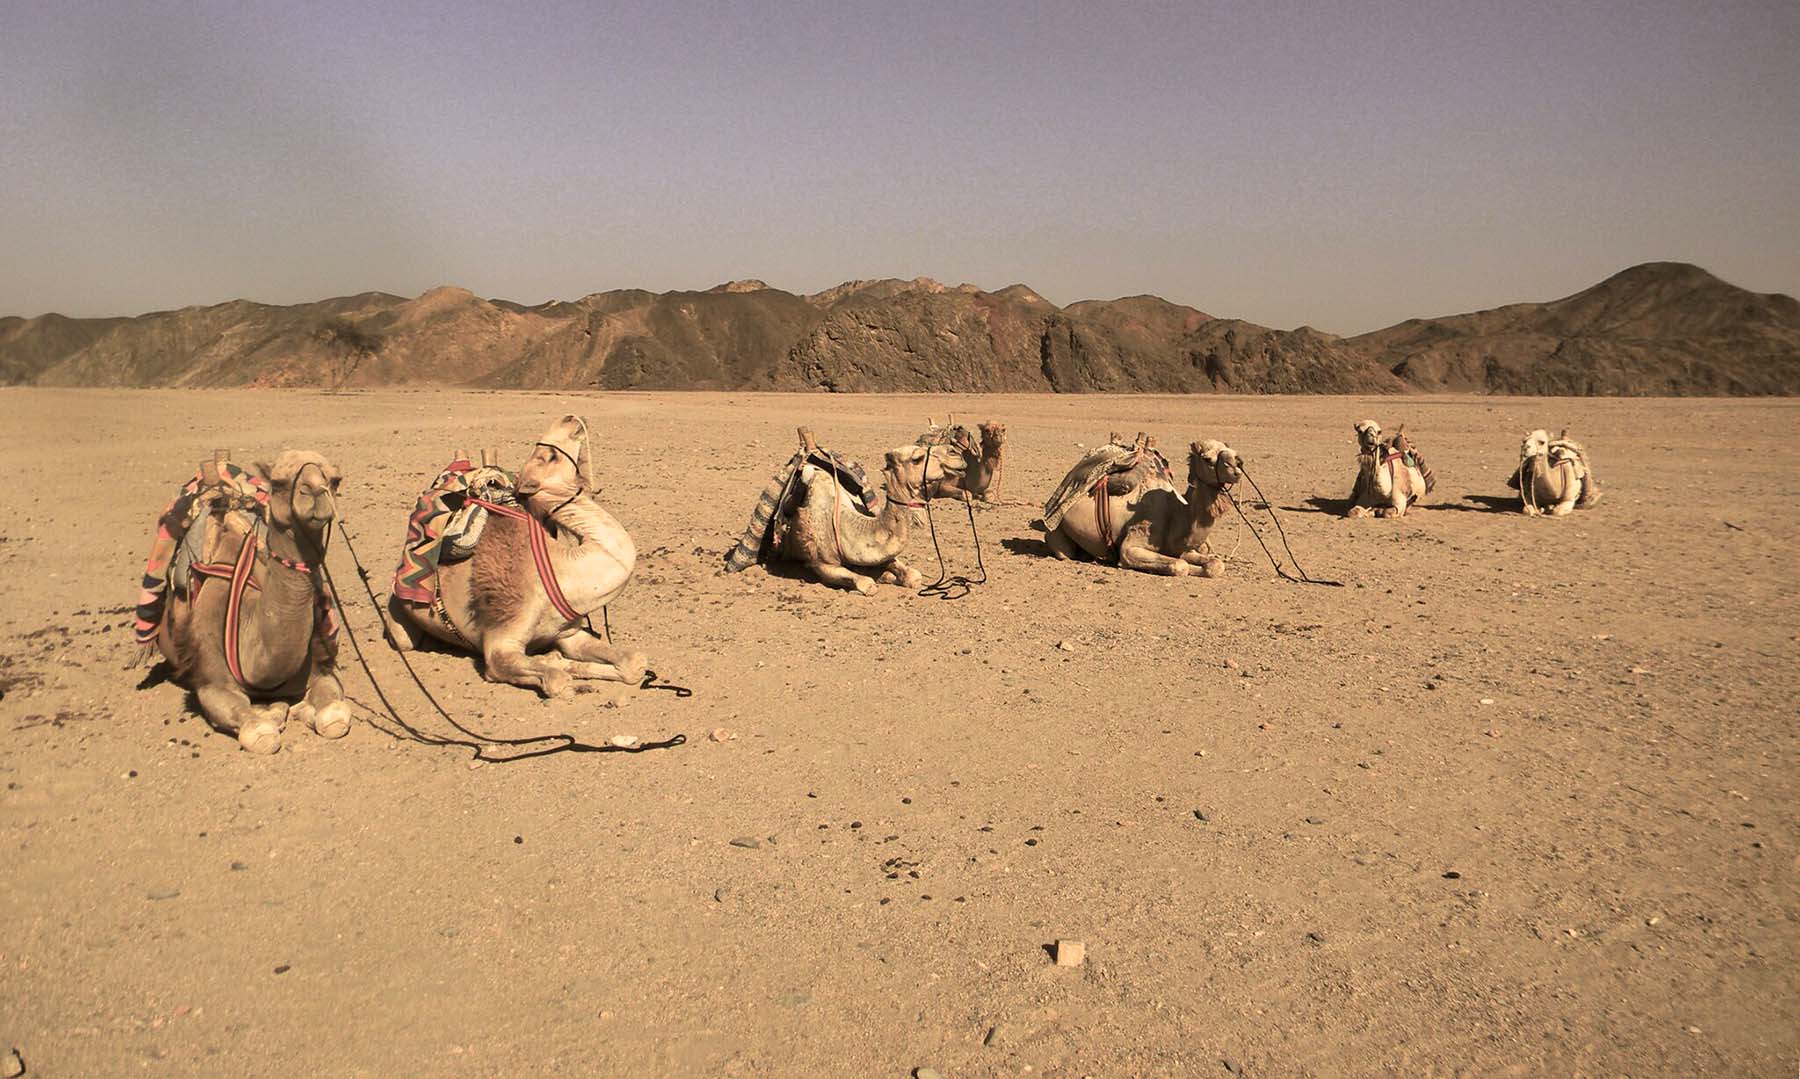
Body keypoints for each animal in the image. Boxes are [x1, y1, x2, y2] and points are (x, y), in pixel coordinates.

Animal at [155, 451, 350, 754]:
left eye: (335, 480)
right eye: (279, 483)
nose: (315, 492)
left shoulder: (320, 665)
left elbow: (334, 716)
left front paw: (300, 709)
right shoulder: (212, 679)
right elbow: (261, 733)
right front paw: (274, 713)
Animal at [386, 416, 647, 699]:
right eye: (549, 457)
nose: (570, 418)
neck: (561, 575)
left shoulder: (569, 633)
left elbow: (634, 663)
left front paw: (559, 660)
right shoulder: (502, 639)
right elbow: (556, 681)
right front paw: (555, 665)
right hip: (399, 621)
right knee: (405, 640)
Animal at [774, 428, 931, 594]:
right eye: (917, 459)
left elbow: (911, 574)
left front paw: (891, 575)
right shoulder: (820, 563)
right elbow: (866, 583)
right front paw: (881, 578)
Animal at [1044, 438, 1241, 577]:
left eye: (1233, 452)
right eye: (1207, 459)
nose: (1238, 466)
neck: (1176, 513)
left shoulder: (1181, 548)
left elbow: (1215, 564)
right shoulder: (1131, 545)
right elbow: (1180, 565)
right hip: (1058, 534)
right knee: (1063, 549)